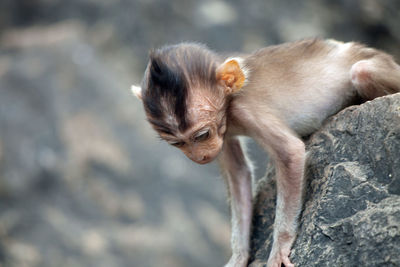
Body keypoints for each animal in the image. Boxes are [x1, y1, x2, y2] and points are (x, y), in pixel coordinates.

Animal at [133, 38, 400, 266]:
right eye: (178, 144)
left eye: (201, 135)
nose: (200, 157)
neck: (230, 101)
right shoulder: (224, 132)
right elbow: (239, 175)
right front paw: (239, 256)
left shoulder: (245, 109)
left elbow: (291, 152)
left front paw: (279, 249)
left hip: (381, 66)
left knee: (362, 71)